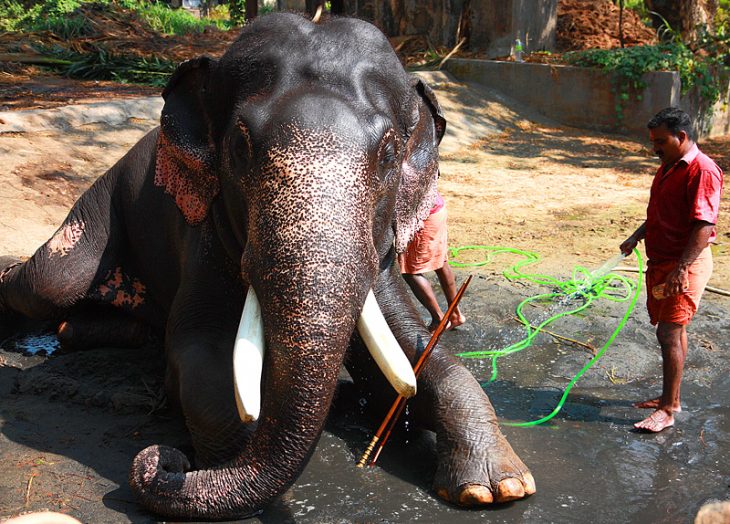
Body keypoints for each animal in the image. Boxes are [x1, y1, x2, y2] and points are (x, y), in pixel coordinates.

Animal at [0, 11, 536, 520]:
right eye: (240, 146)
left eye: (388, 152)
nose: (165, 460)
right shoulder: (207, 236)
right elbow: (199, 356)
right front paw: (227, 466)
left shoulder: (379, 254)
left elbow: (411, 353)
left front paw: (495, 486)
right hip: (98, 208)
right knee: (50, 281)